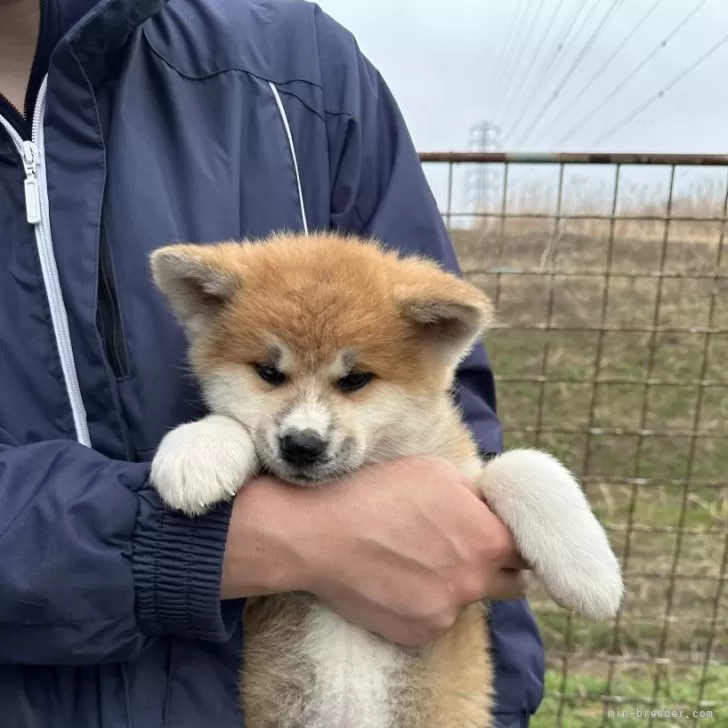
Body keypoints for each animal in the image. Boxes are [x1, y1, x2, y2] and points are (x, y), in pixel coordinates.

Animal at [149, 233, 624, 728]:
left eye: (356, 379)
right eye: (268, 373)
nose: (302, 444)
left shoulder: (461, 475)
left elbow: (526, 465)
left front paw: (589, 570)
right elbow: (231, 423)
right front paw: (199, 451)